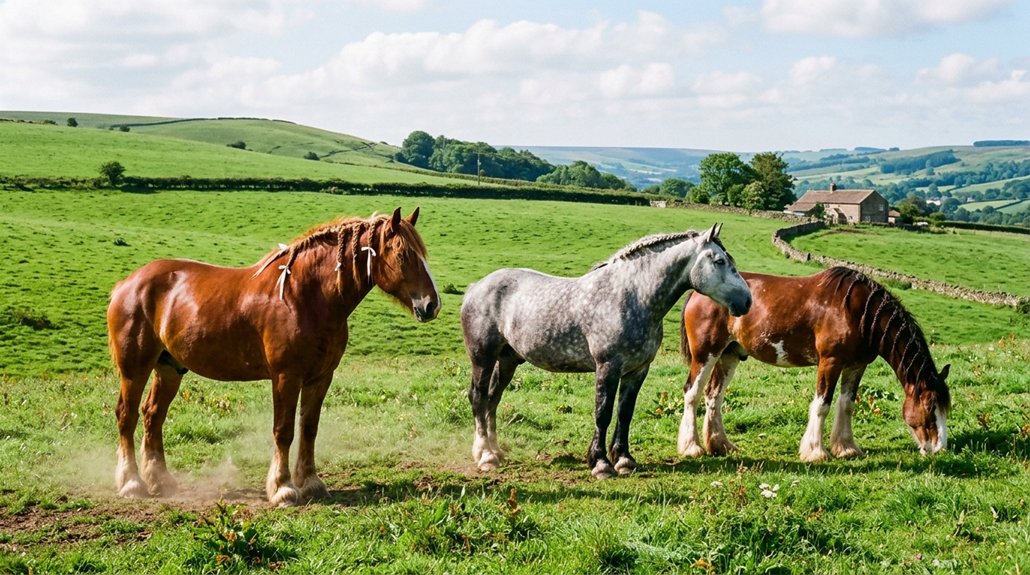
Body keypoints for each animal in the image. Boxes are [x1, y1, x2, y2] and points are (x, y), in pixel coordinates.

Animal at [108, 208, 440, 506]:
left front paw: (311, 483)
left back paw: (160, 480)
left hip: (169, 368)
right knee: (127, 416)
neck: (304, 296)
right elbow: (283, 431)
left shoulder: (320, 377)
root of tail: (126, 284)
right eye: (404, 255)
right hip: (134, 369)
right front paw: (282, 488)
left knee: (153, 416)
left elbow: (309, 429)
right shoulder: (285, 377)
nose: (431, 305)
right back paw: (132, 483)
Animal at [460, 223, 752, 479]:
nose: (747, 301)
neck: (630, 296)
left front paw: (624, 460)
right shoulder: (608, 367)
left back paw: (495, 451)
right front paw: (600, 463)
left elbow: (625, 413)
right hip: (482, 357)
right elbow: (603, 413)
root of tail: (476, 287)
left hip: (508, 359)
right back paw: (485, 456)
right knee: (478, 397)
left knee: (493, 398)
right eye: (719, 261)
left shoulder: (637, 371)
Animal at [677, 266, 951, 462]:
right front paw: (815, 452)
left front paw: (847, 448)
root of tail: (696, 293)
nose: (939, 448)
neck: (858, 311)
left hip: (729, 355)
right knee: (693, 393)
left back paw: (720, 446)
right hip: (706, 354)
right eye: (929, 406)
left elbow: (847, 405)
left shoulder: (856, 365)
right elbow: (822, 405)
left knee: (714, 396)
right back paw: (691, 447)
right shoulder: (830, 362)